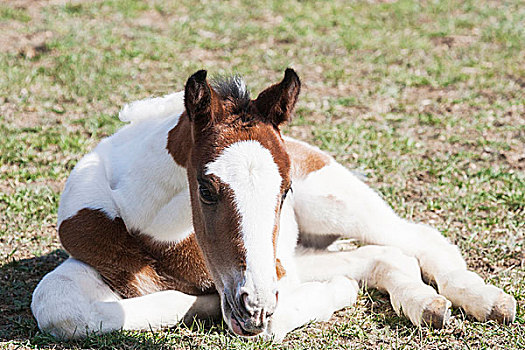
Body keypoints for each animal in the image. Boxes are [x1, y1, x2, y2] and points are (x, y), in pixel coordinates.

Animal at [30, 69, 512, 342]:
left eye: (285, 191)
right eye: (206, 189)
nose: (255, 306)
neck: (159, 231)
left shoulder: (276, 269)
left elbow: (273, 322)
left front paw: (330, 294)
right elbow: (60, 309)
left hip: (336, 205)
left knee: (418, 239)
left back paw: (486, 300)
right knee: (385, 256)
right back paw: (425, 305)